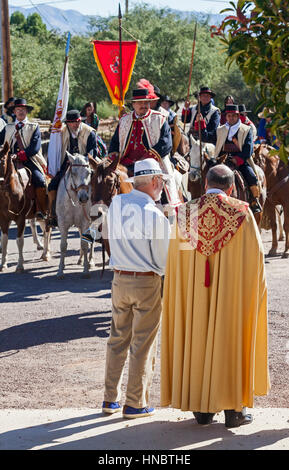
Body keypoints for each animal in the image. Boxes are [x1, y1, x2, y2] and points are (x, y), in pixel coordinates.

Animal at [0, 141, 51, 272]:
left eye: (2, 160)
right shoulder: (4, 219)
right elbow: (4, 240)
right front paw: (3, 264)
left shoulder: (21, 219)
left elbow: (19, 240)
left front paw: (20, 265)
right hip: (39, 216)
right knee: (44, 229)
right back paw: (45, 251)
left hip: (47, 213)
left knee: (47, 231)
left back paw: (46, 253)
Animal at [55, 151, 93, 280]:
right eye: (74, 173)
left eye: (89, 173)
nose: (84, 198)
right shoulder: (62, 224)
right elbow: (63, 246)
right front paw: (60, 271)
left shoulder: (85, 223)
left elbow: (85, 244)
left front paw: (86, 270)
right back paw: (80, 259)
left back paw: (90, 261)